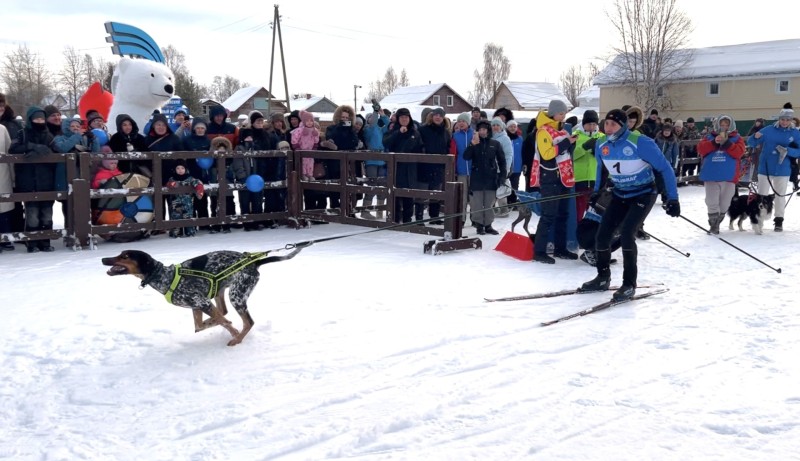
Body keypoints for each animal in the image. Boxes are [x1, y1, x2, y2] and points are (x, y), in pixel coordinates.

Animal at [101, 244, 308, 344]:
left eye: (125, 256)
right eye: (120, 253)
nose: (103, 259)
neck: (163, 276)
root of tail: (254, 262)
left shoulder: (201, 302)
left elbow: (222, 322)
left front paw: (232, 331)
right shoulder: (197, 305)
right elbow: (201, 325)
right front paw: (214, 323)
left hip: (236, 295)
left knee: (248, 322)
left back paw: (237, 340)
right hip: (221, 291)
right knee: (224, 311)